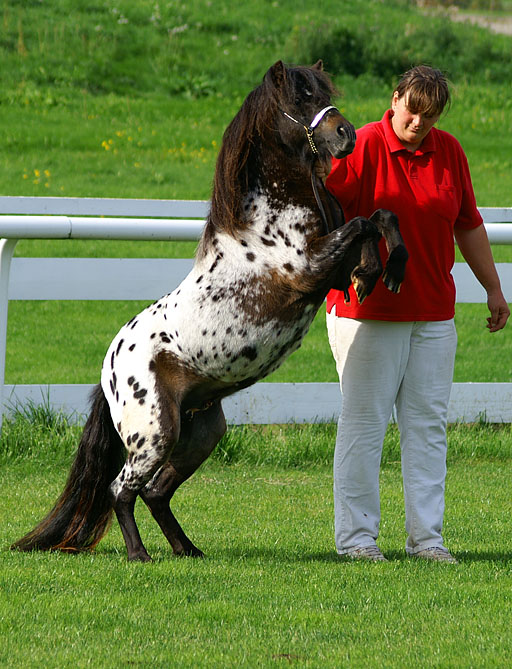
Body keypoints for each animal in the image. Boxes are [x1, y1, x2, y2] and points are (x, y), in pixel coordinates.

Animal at [12, 61, 408, 560]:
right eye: (300, 98)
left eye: (324, 91)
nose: (346, 134)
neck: (266, 217)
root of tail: (110, 370)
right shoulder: (310, 268)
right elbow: (362, 224)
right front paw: (373, 273)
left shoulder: (330, 269)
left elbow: (378, 218)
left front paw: (384, 270)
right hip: (155, 434)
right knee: (122, 489)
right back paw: (139, 555)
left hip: (201, 433)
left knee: (156, 492)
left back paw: (188, 550)